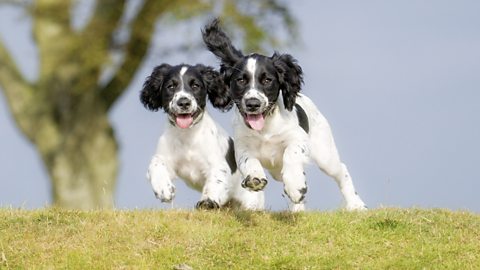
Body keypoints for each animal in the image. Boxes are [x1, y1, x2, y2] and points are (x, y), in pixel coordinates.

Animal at [141, 63, 264, 211]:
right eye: (170, 86)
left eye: (195, 86)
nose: (184, 102)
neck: (187, 135)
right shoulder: (164, 158)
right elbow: (156, 164)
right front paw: (163, 189)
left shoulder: (217, 164)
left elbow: (216, 180)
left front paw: (207, 202)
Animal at [202, 20, 368, 211]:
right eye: (241, 80)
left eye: (267, 80)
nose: (253, 103)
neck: (265, 128)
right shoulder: (242, 146)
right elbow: (248, 161)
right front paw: (255, 178)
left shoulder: (299, 139)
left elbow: (291, 154)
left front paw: (295, 186)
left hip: (325, 154)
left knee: (341, 170)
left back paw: (355, 204)